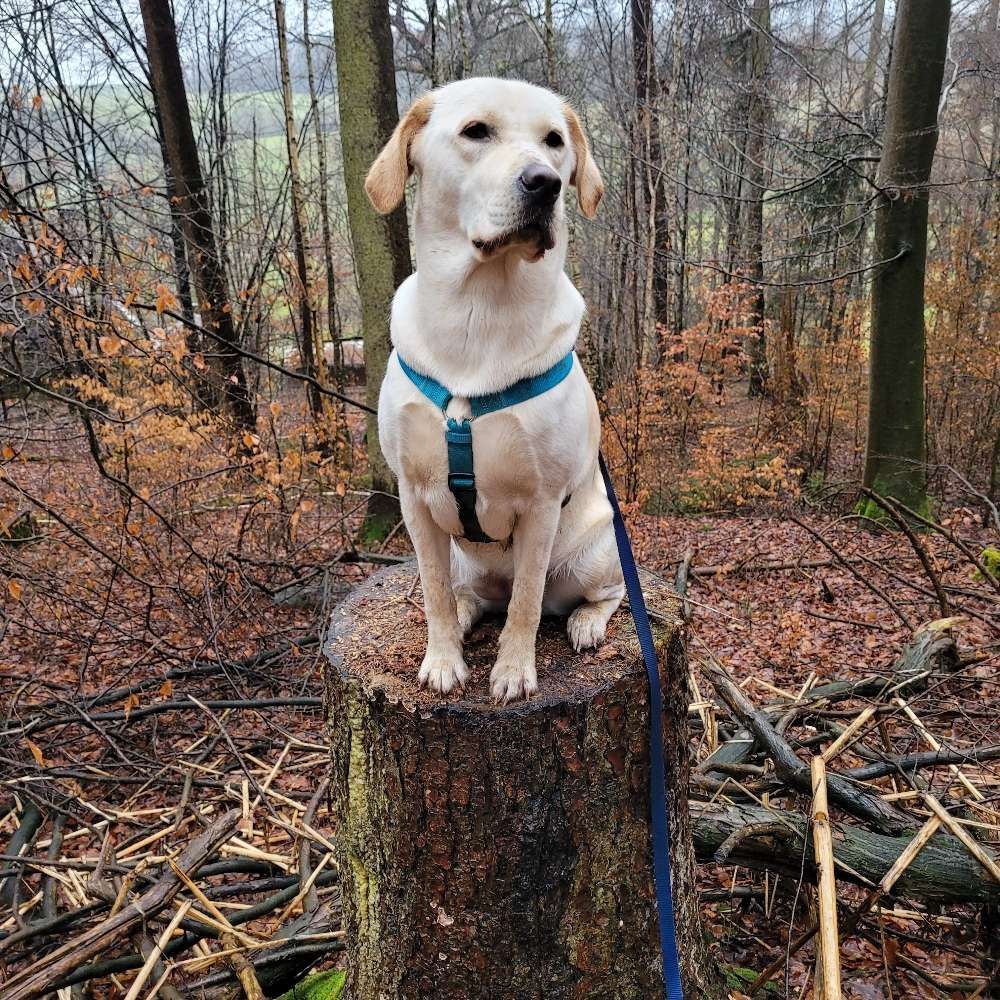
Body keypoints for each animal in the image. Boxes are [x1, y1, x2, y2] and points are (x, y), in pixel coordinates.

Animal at [364, 78, 620, 704]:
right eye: (476, 131)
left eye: (554, 141)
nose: (545, 182)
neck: (478, 314)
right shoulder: (414, 497)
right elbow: (431, 591)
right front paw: (442, 660)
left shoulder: (542, 504)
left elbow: (526, 602)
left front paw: (512, 672)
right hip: (462, 558)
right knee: (465, 595)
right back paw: (464, 614)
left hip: (593, 551)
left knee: (600, 594)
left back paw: (586, 622)